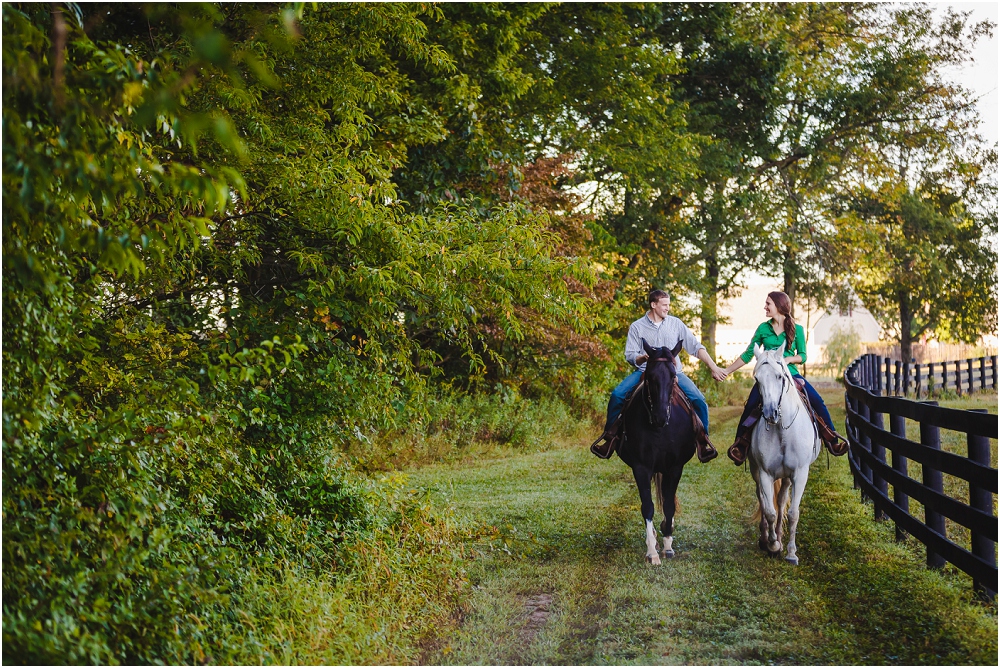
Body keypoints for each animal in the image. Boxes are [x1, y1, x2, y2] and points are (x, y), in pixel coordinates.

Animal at [752, 342, 820, 568]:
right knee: (763, 500)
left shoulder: (800, 474)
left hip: (788, 477)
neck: (781, 429)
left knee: (782, 500)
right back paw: (765, 539)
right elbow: (770, 512)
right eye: (757, 379)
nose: (770, 413)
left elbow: (792, 513)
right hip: (756, 472)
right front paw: (773, 545)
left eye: (780, 376)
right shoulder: (764, 473)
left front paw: (791, 552)